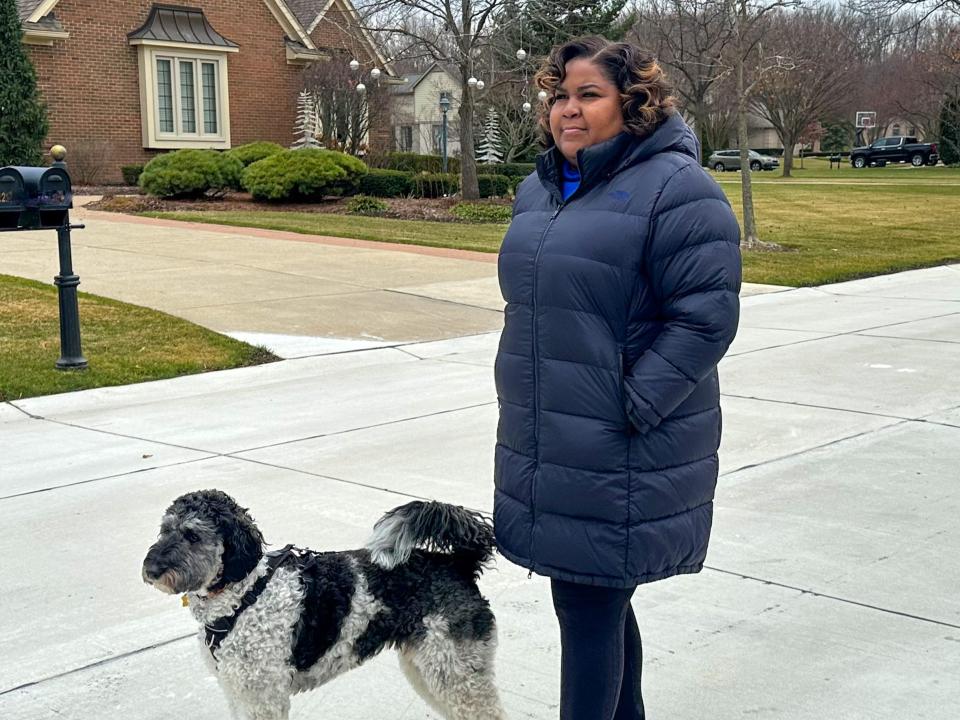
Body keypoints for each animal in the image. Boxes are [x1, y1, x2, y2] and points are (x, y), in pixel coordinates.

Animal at [144, 490, 502, 720]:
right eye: (165, 530)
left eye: (192, 535)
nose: (150, 570)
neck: (244, 594)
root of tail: (459, 563)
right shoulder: (238, 691)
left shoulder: (262, 695)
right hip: (429, 668)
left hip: (456, 671)